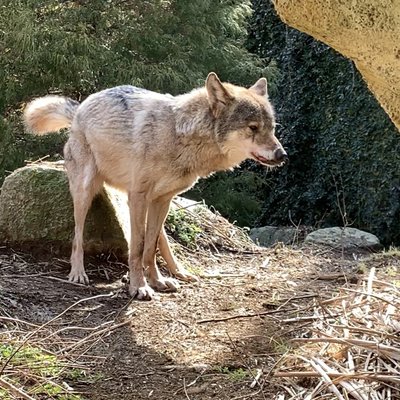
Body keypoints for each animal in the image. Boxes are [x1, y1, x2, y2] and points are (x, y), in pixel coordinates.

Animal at [23, 72, 288, 300]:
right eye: (253, 127)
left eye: (272, 128)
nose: (282, 155)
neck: (180, 136)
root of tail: (80, 108)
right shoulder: (138, 197)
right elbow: (138, 248)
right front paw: (138, 287)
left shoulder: (161, 199)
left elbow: (149, 248)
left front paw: (156, 282)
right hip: (86, 192)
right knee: (78, 234)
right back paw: (78, 273)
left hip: (154, 203)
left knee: (160, 240)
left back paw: (178, 273)